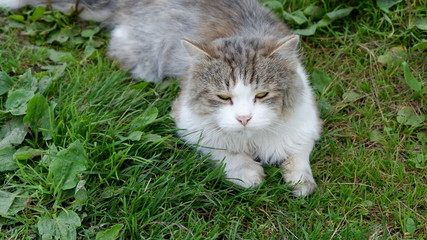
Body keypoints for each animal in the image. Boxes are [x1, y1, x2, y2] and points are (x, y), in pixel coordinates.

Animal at [0, 0, 320, 197]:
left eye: (262, 94)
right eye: (223, 96)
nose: (244, 118)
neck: (251, 138)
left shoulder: (306, 121)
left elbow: (299, 154)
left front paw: (301, 181)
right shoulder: (188, 121)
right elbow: (224, 152)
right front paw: (247, 173)